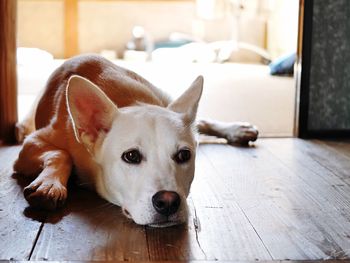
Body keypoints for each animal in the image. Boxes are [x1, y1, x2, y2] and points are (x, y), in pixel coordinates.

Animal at [13, 54, 258, 228]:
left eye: (184, 155)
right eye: (131, 156)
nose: (168, 202)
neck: (129, 101)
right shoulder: (31, 144)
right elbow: (60, 153)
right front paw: (49, 184)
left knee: (201, 122)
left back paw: (236, 129)